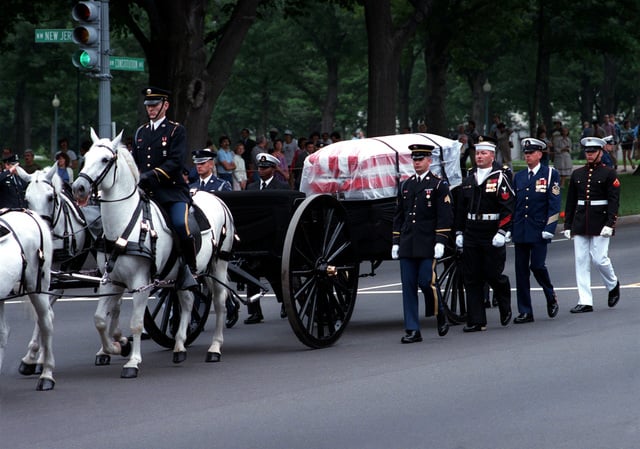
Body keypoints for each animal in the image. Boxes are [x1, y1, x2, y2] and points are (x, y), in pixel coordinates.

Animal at [18, 164, 98, 374]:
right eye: (27, 199)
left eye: (50, 197)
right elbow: (43, 314)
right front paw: (33, 356)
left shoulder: (61, 275)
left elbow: (45, 314)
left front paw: (38, 358)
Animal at [72, 130, 235, 378]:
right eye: (86, 157)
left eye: (105, 160)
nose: (78, 188)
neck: (125, 224)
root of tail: (216, 198)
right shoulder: (110, 280)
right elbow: (100, 319)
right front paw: (115, 347)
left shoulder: (141, 283)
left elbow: (137, 322)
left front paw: (132, 361)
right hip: (181, 275)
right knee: (187, 301)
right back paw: (179, 346)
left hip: (218, 264)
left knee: (219, 303)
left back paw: (214, 348)